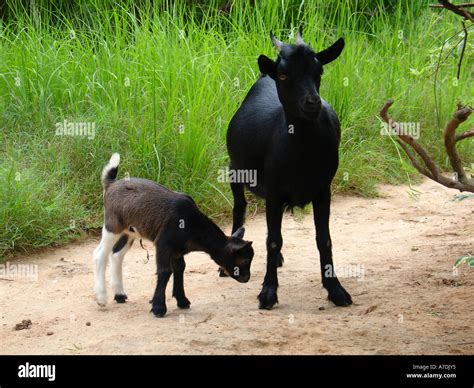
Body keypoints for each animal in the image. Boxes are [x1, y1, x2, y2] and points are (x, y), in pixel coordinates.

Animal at [93, 153, 256, 316]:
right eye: (244, 260)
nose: (246, 278)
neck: (191, 224)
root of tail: (111, 183)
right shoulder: (163, 243)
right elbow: (165, 271)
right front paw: (159, 308)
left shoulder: (178, 250)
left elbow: (180, 268)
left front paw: (182, 300)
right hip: (113, 225)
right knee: (100, 254)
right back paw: (101, 298)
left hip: (130, 231)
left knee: (116, 255)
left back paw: (119, 295)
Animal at [225, 28, 352, 310]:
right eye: (284, 75)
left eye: (319, 71)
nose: (312, 102)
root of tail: (264, 76)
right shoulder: (273, 192)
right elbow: (273, 240)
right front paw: (268, 292)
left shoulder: (323, 190)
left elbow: (324, 239)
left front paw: (336, 289)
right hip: (234, 170)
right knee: (240, 207)